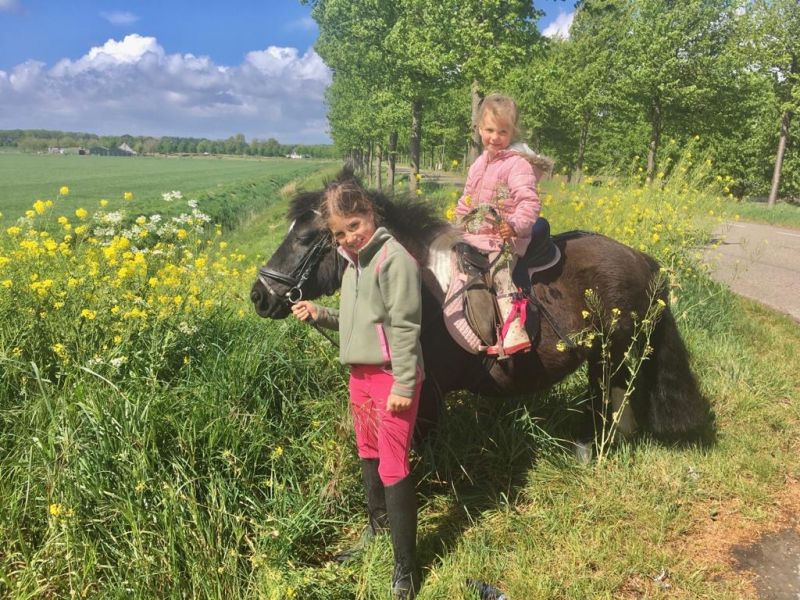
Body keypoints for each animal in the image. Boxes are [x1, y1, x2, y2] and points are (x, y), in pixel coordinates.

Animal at [252, 176, 712, 442]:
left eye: (305, 237)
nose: (259, 295)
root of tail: (643, 259)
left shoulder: (428, 389)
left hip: (611, 350)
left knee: (610, 397)